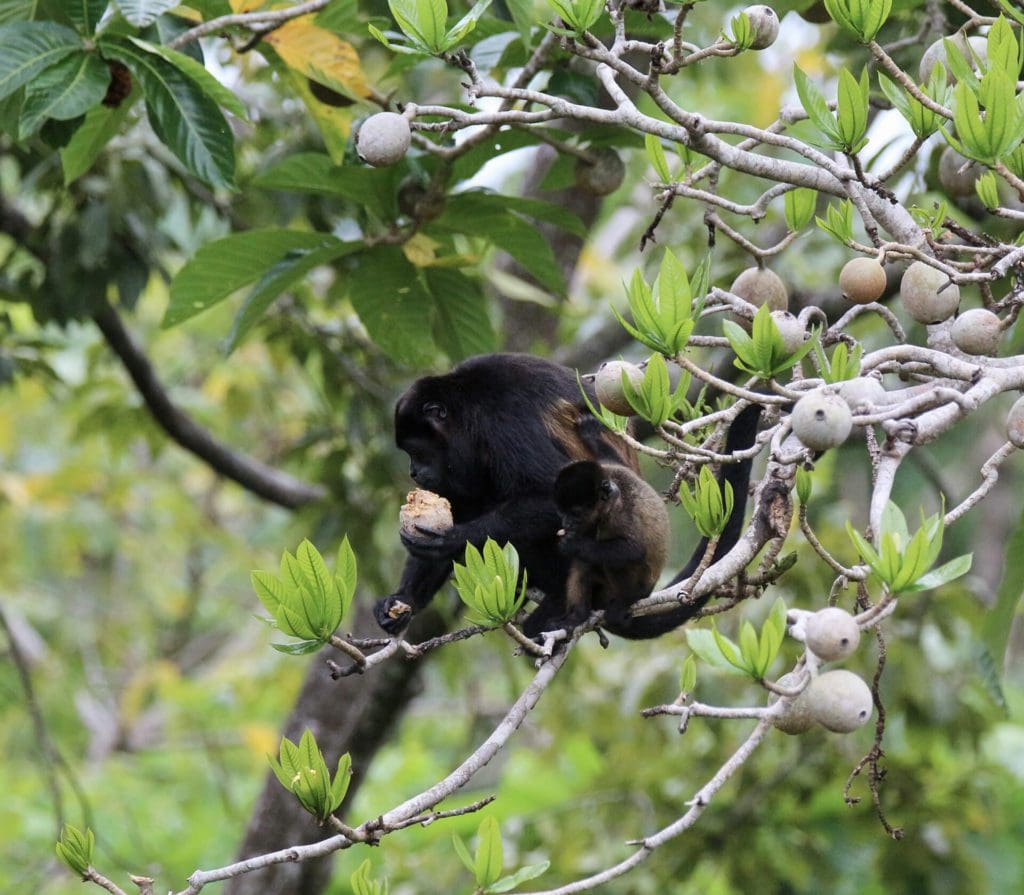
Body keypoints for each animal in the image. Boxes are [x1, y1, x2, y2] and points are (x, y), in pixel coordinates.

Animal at [376, 352, 761, 638]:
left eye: (416, 451)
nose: (413, 472)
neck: (466, 413)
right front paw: (401, 600)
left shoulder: (504, 419)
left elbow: (548, 493)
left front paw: (451, 539)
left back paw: (559, 604)